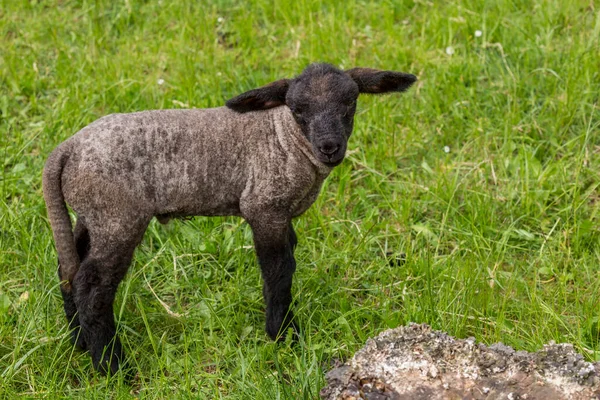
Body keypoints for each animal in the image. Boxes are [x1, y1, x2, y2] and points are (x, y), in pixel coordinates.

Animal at [43, 63, 418, 376]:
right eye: (298, 110)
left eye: (351, 102)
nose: (330, 147)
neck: (284, 137)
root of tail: (67, 149)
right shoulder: (264, 207)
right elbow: (278, 271)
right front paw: (282, 335)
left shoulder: (282, 215)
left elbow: (289, 260)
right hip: (118, 216)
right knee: (92, 286)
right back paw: (113, 366)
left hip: (92, 213)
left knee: (69, 269)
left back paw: (79, 342)